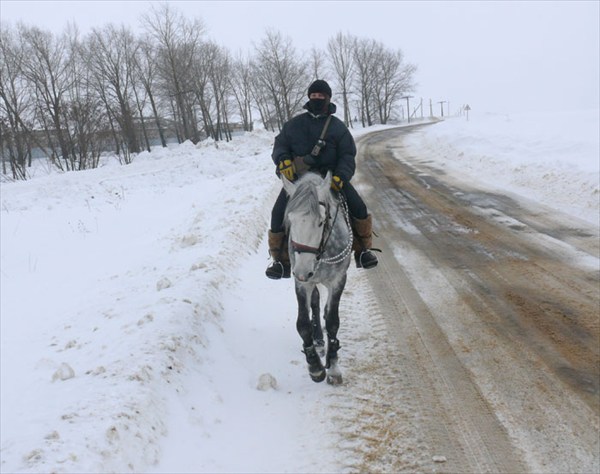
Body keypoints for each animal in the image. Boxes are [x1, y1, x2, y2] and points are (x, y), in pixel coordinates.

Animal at [284, 171, 354, 386]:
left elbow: (332, 321)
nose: (303, 270)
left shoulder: (338, 280)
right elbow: (302, 324)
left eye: (321, 222)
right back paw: (319, 341)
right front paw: (315, 367)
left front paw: (333, 368)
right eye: (290, 220)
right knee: (314, 303)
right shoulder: (302, 284)